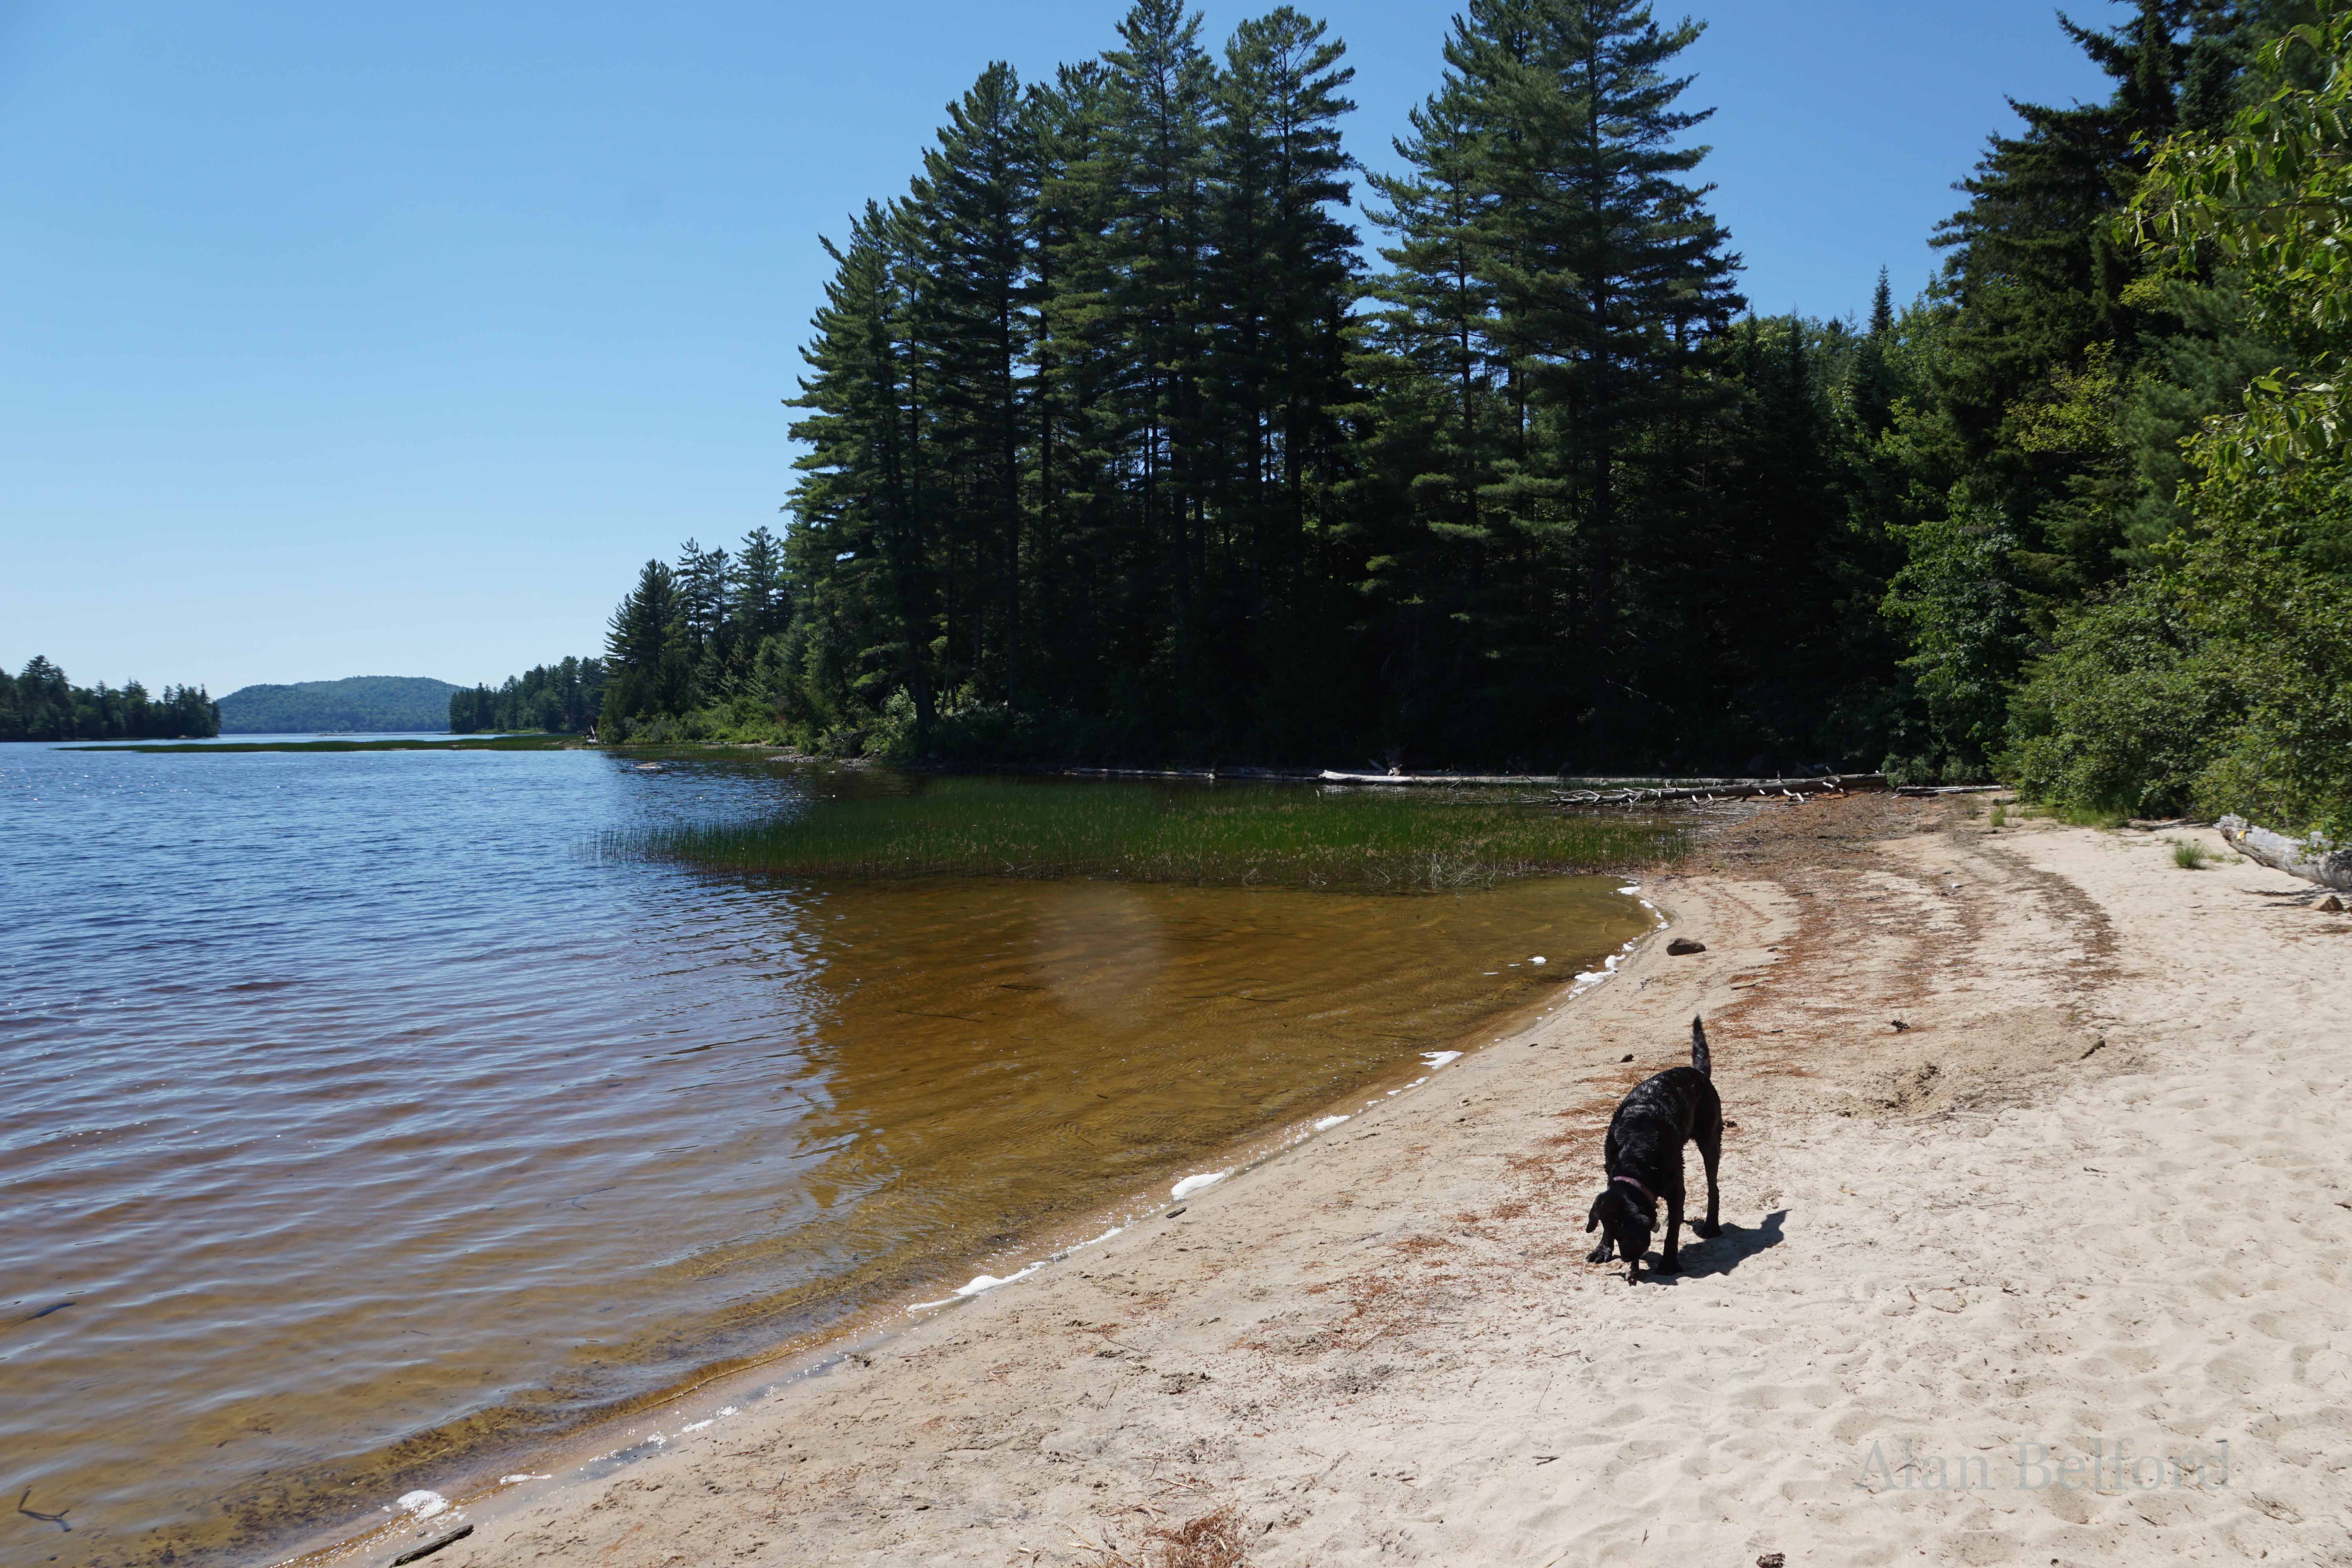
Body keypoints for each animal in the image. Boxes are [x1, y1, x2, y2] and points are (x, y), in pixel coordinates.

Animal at [1590, 1020, 1722, 1288]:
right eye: (1615, 1233)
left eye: (1627, 1232)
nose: (1627, 1257)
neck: (1635, 1154)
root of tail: (1700, 1074)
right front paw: (1605, 1250)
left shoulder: (1675, 1189)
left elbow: (1672, 1234)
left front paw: (1668, 1263)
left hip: (1710, 1141)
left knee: (1713, 1187)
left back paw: (1711, 1226)